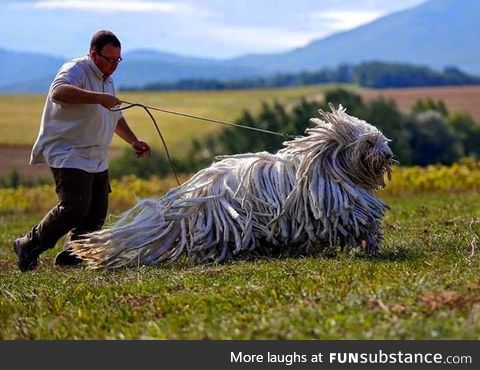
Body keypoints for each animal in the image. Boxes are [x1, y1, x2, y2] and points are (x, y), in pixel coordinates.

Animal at [70, 104, 394, 268]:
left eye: (380, 138)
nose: (389, 155)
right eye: (369, 142)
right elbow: (361, 220)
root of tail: (191, 195)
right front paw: (371, 242)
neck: (326, 163)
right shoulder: (338, 206)